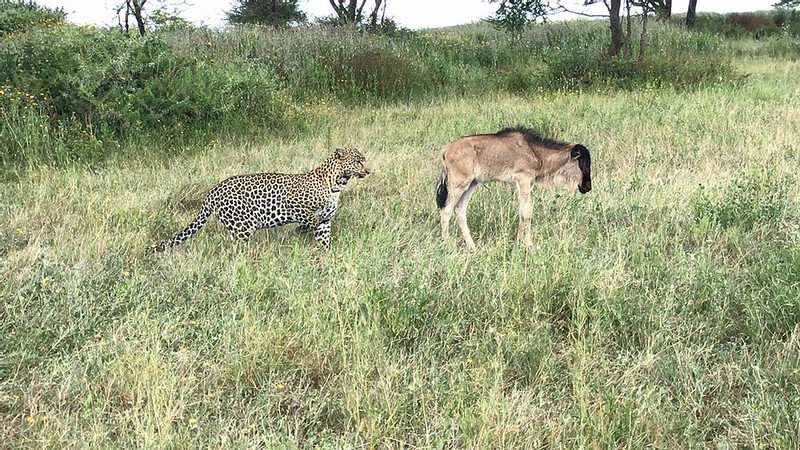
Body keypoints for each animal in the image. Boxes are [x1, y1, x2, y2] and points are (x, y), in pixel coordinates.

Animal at [152, 149, 370, 251]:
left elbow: (323, 238)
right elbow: (309, 220)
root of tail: (213, 191)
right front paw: (297, 232)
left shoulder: (326, 220)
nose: (368, 170)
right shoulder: (296, 205)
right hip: (243, 226)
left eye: (364, 159)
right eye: (358, 160)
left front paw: (326, 255)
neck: (337, 183)